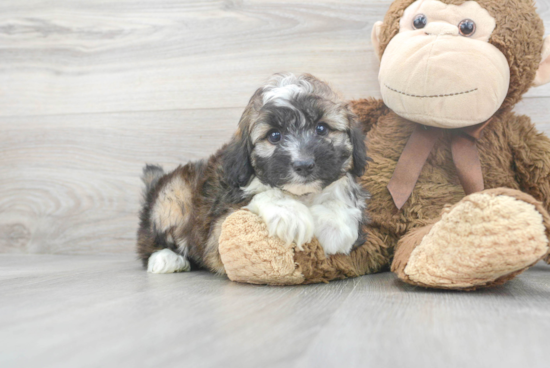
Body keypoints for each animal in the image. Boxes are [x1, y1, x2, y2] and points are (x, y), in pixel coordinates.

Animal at [138, 73, 370, 274]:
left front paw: (334, 222)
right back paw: (166, 258)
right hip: (173, 198)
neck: (302, 195)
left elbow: (340, 191)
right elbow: (260, 195)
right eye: (274, 136)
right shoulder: (218, 232)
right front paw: (289, 213)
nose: (303, 164)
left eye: (321, 129)